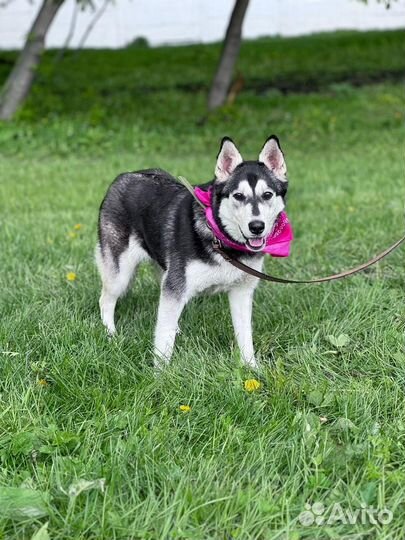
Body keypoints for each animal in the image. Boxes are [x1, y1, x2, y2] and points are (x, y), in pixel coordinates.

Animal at [95, 137, 288, 370]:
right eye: (238, 196)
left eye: (267, 195)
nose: (257, 226)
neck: (220, 236)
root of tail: (124, 175)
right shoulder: (175, 287)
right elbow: (163, 343)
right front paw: (160, 375)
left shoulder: (241, 291)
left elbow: (245, 336)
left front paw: (251, 368)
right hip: (120, 274)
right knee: (106, 300)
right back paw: (110, 334)